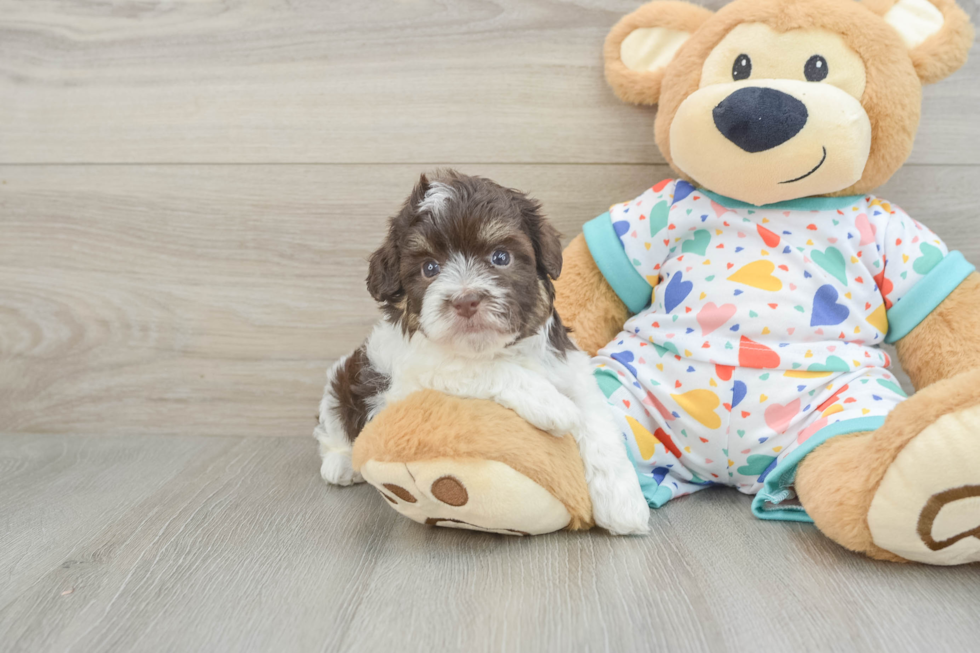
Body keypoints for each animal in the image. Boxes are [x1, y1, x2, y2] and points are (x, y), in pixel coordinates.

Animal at [316, 172, 652, 536]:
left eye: (500, 257)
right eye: (430, 268)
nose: (466, 300)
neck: (493, 347)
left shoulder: (570, 368)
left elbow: (598, 422)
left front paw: (624, 503)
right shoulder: (416, 373)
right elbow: (480, 369)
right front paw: (554, 406)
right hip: (343, 382)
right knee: (334, 424)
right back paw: (339, 464)